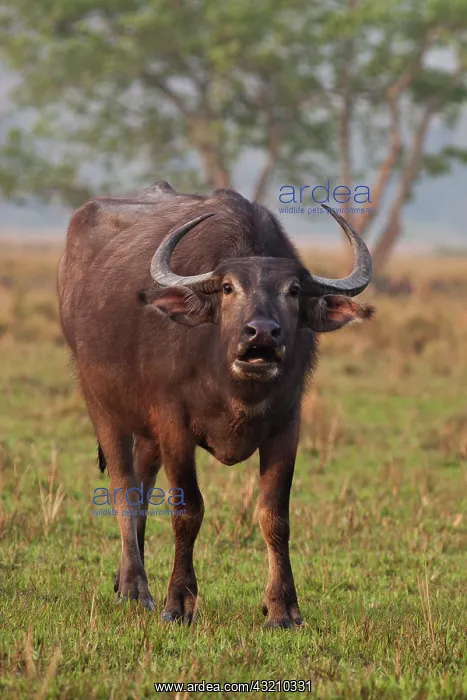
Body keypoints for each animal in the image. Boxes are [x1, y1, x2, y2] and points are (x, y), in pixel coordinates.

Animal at [58, 182, 373, 628]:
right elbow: (187, 510)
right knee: (123, 487)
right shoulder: (174, 424)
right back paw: (136, 588)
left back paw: (125, 578)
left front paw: (282, 607)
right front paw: (179, 603)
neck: (233, 386)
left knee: (142, 483)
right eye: (228, 288)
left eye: (293, 291)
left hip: (146, 430)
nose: (262, 332)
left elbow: (275, 516)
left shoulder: (286, 425)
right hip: (101, 404)